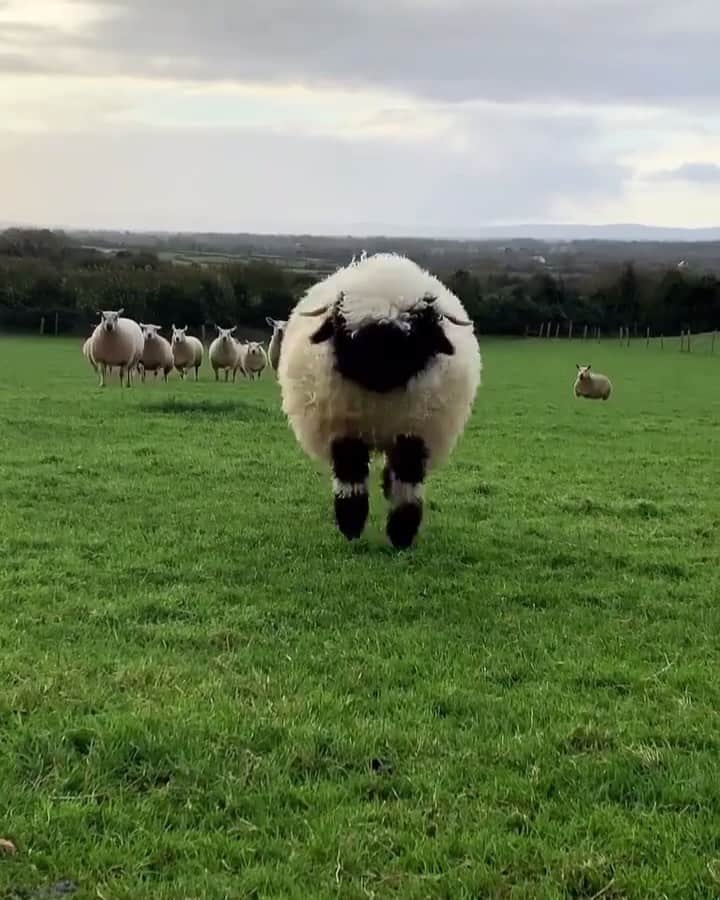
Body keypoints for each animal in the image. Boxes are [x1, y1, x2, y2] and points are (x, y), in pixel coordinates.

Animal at [278, 251, 480, 548]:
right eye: (350, 332)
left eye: (413, 332)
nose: (379, 367)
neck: (380, 399)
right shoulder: (344, 431)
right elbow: (350, 478)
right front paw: (351, 525)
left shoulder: (414, 434)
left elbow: (407, 483)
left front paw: (402, 534)